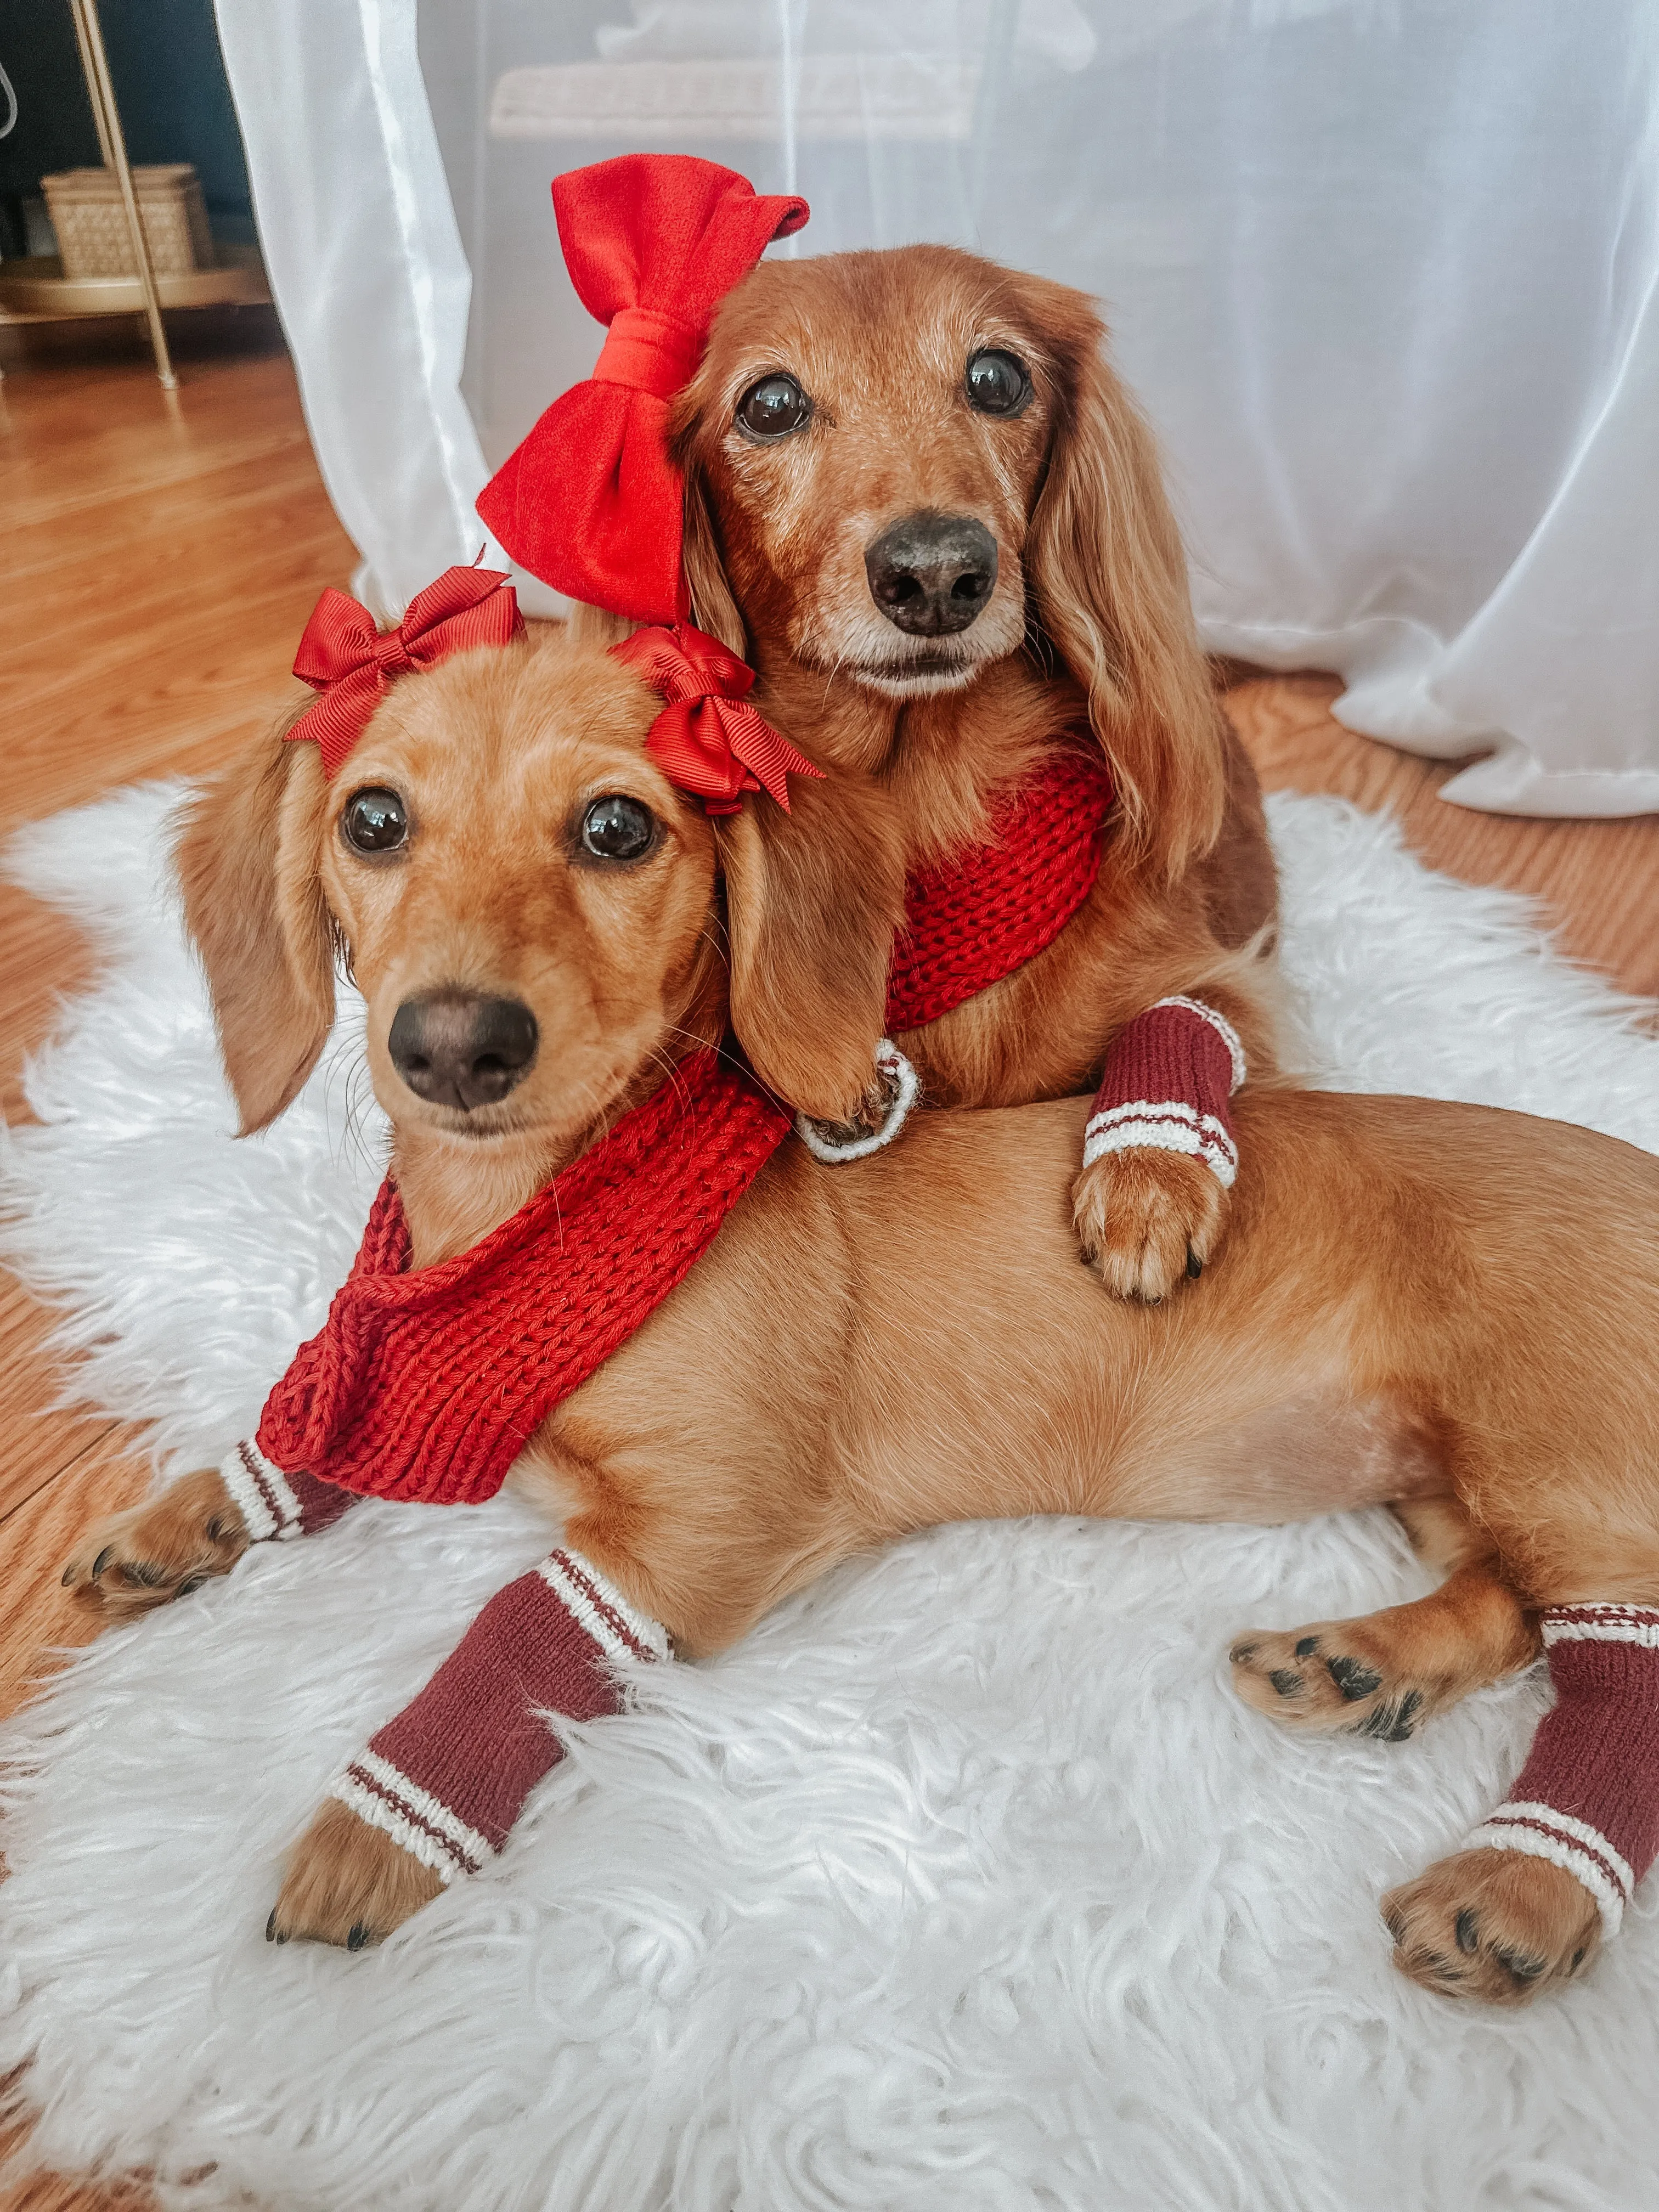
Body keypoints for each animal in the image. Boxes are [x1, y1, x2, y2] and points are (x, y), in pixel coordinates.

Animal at [71, 637, 1659, 2008]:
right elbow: (308, 1437)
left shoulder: (704, 1531)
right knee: (1511, 1611)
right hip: (1463, 1487)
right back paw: (1365, 1665)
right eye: (375, 818)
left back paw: (1520, 1890)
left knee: (1620, 1667)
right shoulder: (420, 1379)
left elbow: (513, 1623)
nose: (453, 1046)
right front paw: (182, 1519)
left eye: (617, 828)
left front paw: (376, 1826)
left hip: (1561, 1460)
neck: (538, 1228)